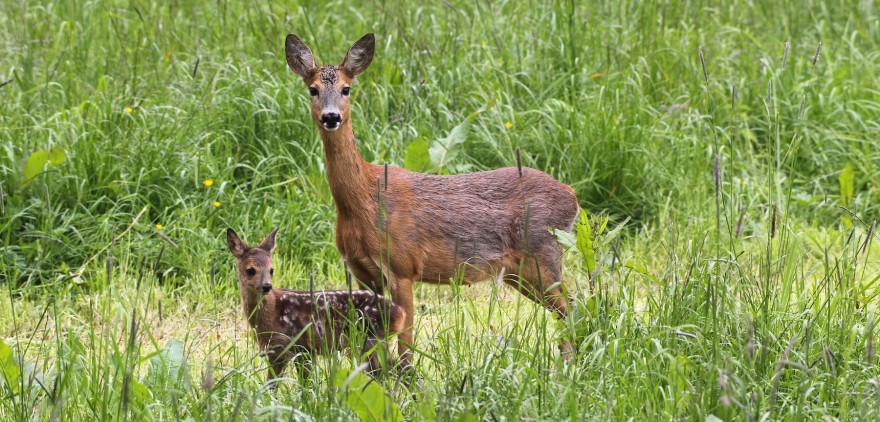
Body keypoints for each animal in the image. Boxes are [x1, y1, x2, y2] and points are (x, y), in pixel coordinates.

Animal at [227, 227, 406, 386]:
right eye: (250, 270)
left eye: (272, 270)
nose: (266, 287)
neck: (273, 312)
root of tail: (400, 312)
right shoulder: (275, 352)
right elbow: (270, 387)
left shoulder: (301, 347)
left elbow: (305, 384)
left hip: (367, 340)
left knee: (389, 370)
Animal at [286, 33, 580, 364]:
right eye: (313, 89)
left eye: (346, 88)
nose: (331, 116)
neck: (365, 201)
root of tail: (572, 196)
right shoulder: (363, 274)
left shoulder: (402, 266)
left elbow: (405, 345)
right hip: (520, 273)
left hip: (542, 256)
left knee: (573, 307)